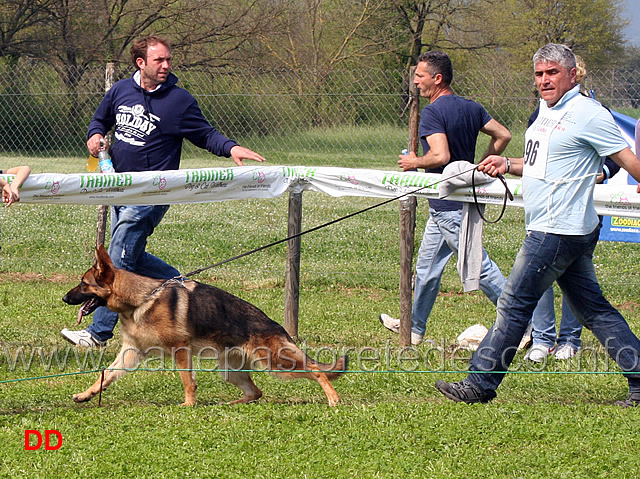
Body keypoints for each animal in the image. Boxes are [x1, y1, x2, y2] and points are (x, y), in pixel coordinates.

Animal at [62, 248, 348, 408]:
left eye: (83, 284)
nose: (64, 298)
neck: (140, 299)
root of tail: (276, 326)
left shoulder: (180, 350)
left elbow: (187, 380)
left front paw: (189, 405)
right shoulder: (132, 353)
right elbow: (105, 375)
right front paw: (86, 395)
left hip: (276, 363)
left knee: (315, 371)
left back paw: (333, 399)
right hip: (229, 371)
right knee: (256, 392)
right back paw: (230, 403)